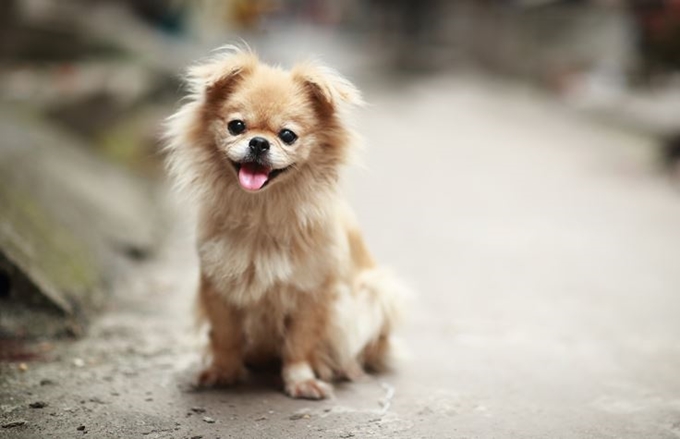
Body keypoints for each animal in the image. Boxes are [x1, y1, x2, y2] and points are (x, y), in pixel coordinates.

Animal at [165, 47, 406, 398]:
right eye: (236, 126)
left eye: (288, 136)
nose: (258, 143)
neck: (262, 210)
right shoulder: (218, 286)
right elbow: (225, 336)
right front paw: (223, 370)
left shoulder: (312, 293)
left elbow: (299, 343)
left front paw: (301, 380)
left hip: (376, 291)